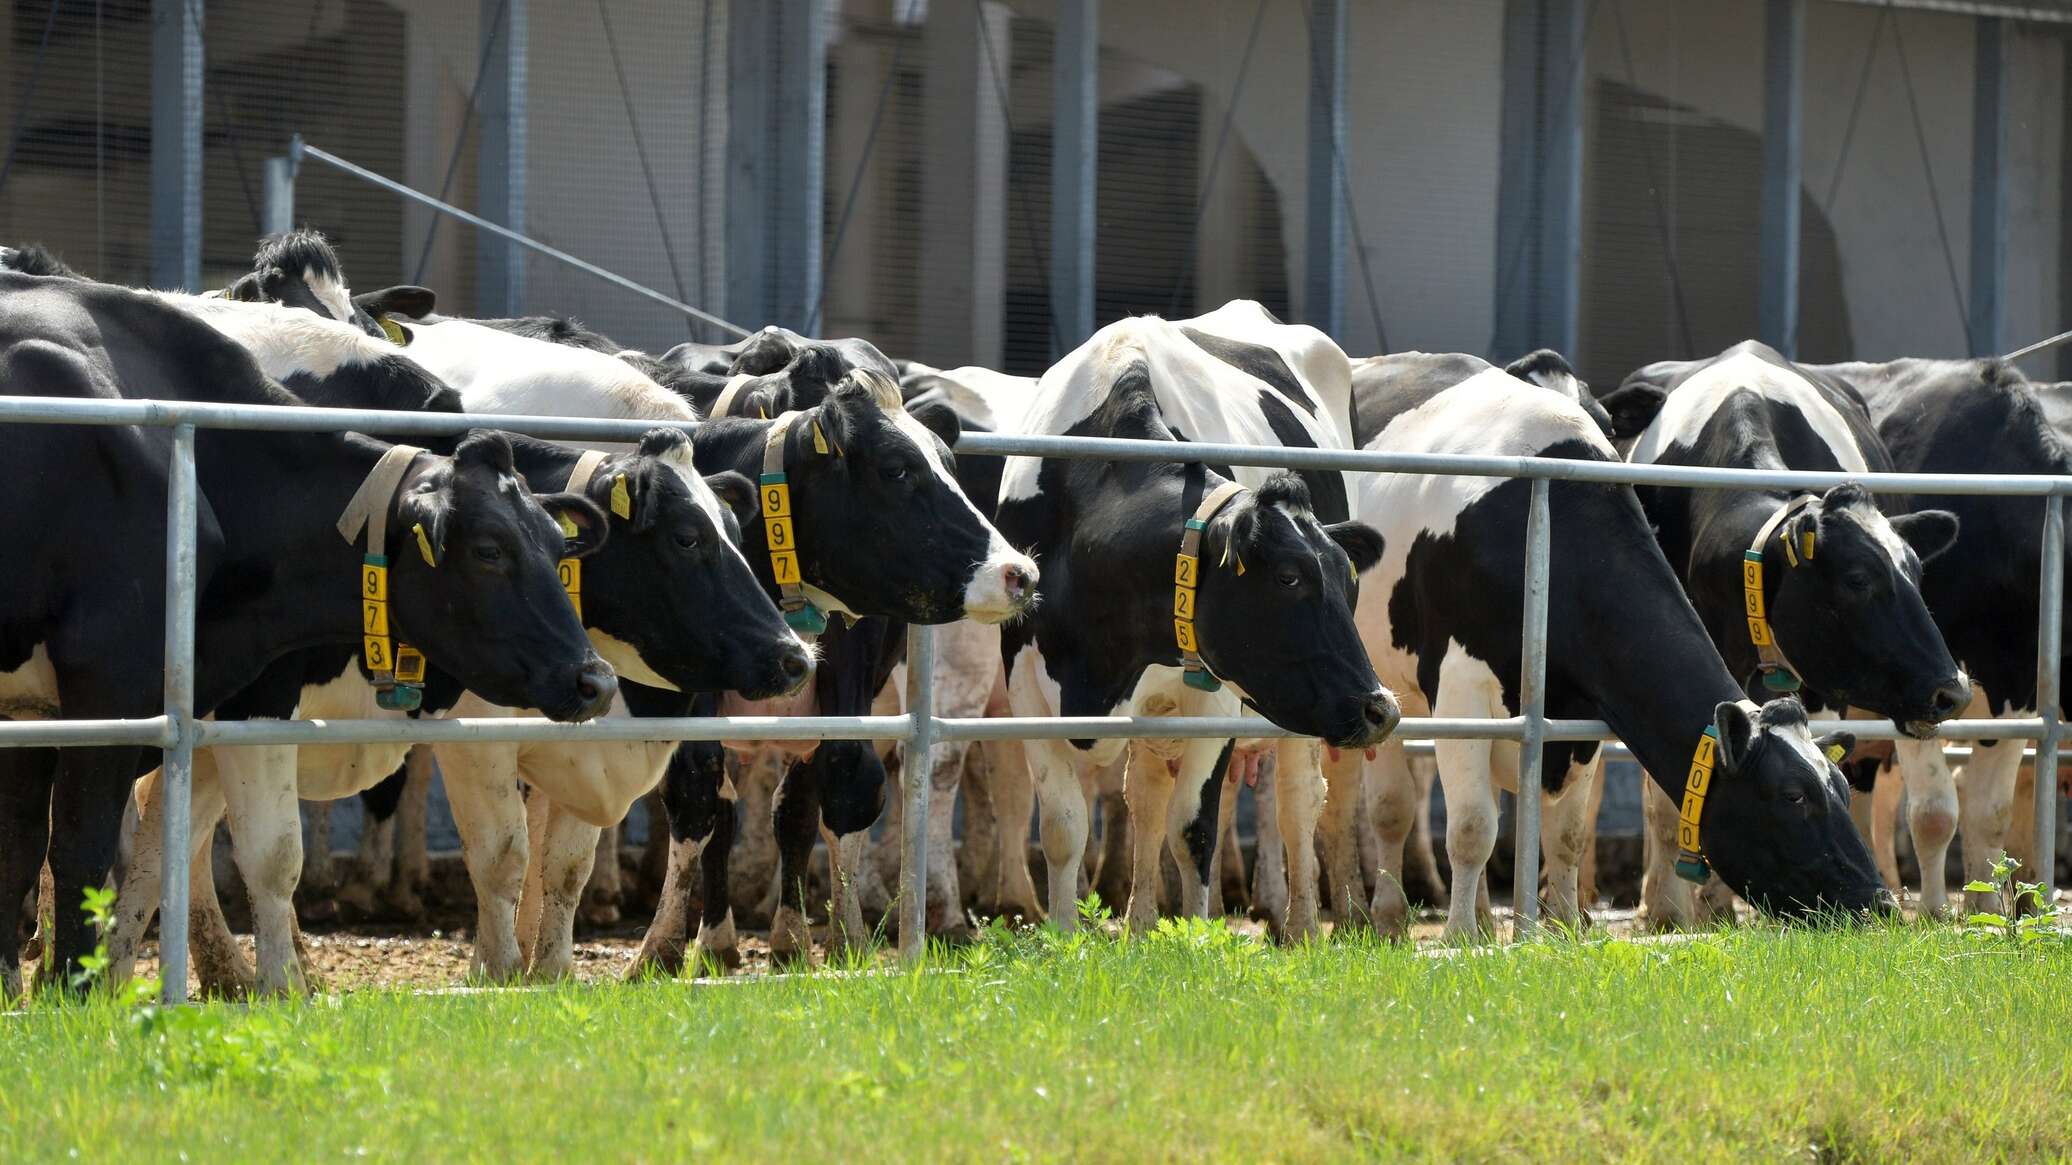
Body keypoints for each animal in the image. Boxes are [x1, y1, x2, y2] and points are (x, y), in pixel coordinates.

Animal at [0, 269, 613, 986]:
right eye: (489, 549)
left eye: (555, 541)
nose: (595, 679)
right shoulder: (108, 679)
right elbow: (82, 844)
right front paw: (73, 985)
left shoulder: (35, 704)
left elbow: (20, 847)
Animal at [994, 294, 1400, 936]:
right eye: (1288, 577)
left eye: (1348, 579)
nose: (1381, 708)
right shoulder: (1027, 690)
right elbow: (1064, 828)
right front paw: (1064, 936)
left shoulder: (1215, 700)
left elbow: (1194, 829)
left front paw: (1197, 937)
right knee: (1145, 798)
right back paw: (1138, 927)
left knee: (1298, 802)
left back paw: (1304, 928)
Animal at [1342, 352, 1897, 932]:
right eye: (1793, 796)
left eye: (1840, 786)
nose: (1879, 902)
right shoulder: (1460, 688)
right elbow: (1473, 827)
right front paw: (1461, 937)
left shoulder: (1578, 709)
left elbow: (1565, 832)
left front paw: (1562, 927)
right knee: (1389, 805)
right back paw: (1387, 917)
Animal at [1607, 339, 1964, 920]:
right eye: (1858, 578)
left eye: (1916, 571)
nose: (1952, 691)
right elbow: (1671, 796)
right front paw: (1695, 907)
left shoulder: (1820, 687)